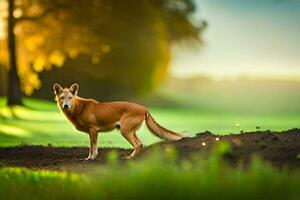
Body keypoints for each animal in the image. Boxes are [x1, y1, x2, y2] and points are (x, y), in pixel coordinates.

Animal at [52, 83, 182, 159]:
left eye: (70, 98)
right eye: (62, 98)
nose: (66, 106)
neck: (79, 108)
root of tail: (144, 108)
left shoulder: (93, 130)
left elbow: (93, 148)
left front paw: (92, 159)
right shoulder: (91, 132)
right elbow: (91, 147)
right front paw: (88, 158)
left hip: (125, 131)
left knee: (137, 145)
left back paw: (130, 159)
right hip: (130, 131)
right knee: (140, 144)